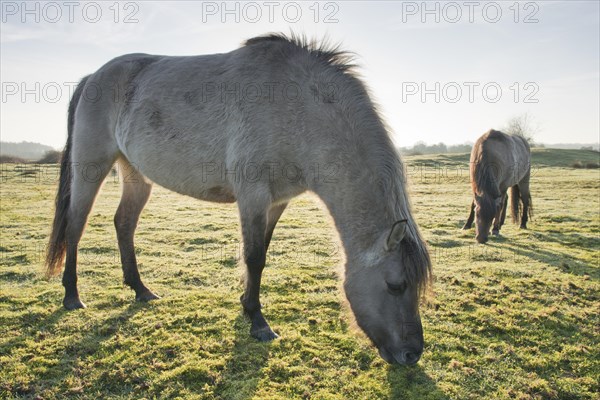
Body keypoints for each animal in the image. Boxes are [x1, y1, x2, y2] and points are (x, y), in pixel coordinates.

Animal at [47, 33, 432, 366]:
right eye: (395, 285)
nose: (412, 354)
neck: (297, 106)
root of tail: (93, 77)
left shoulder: (276, 202)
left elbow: (261, 253)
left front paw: (247, 306)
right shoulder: (253, 197)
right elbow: (254, 257)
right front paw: (259, 323)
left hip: (135, 176)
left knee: (123, 224)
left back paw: (141, 290)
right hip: (91, 168)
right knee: (76, 225)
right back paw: (72, 296)